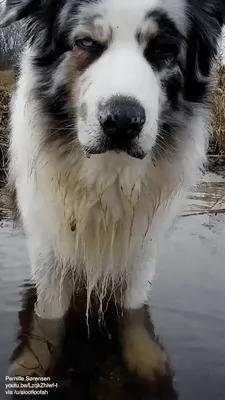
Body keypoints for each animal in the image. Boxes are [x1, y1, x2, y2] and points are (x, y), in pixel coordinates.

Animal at [0, 0, 224, 382]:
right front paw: (35, 363)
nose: (122, 122)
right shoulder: (49, 245)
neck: (107, 175)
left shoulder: (143, 245)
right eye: (87, 43)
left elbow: (132, 310)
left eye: (163, 50)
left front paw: (144, 359)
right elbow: (49, 319)